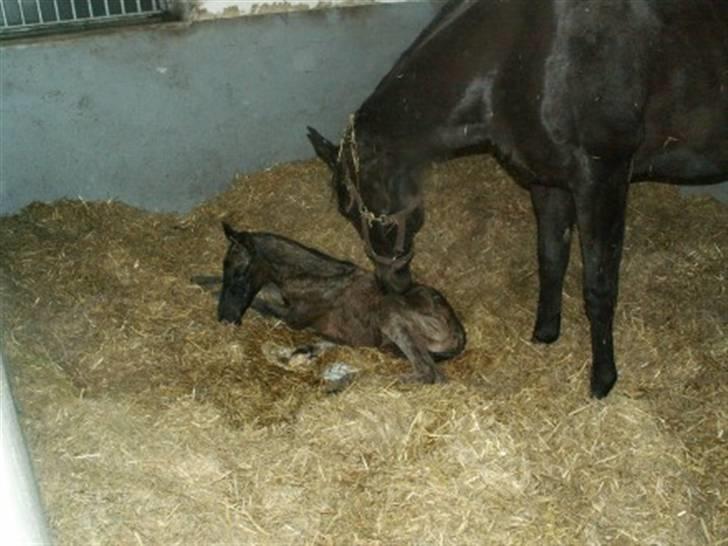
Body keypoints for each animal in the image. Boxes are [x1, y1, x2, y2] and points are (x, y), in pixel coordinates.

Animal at [218, 222, 466, 382]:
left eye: (240, 272)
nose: (226, 318)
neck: (316, 277)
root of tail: (460, 333)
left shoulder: (293, 317)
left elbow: (262, 303)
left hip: (388, 311)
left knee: (429, 373)